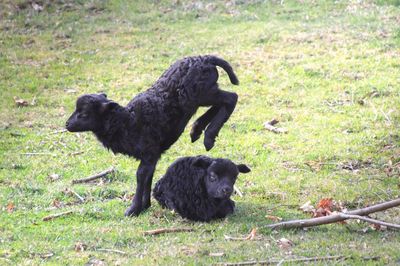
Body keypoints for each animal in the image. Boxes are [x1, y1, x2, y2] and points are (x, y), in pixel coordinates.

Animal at [66, 54, 241, 216]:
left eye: (84, 114)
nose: (67, 124)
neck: (127, 122)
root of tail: (205, 58)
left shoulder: (149, 152)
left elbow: (140, 176)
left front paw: (133, 209)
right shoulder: (152, 156)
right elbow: (148, 176)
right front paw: (144, 205)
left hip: (200, 92)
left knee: (231, 97)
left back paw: (208, 137)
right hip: (202, 93)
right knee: (221, 102)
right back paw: (196, 130)